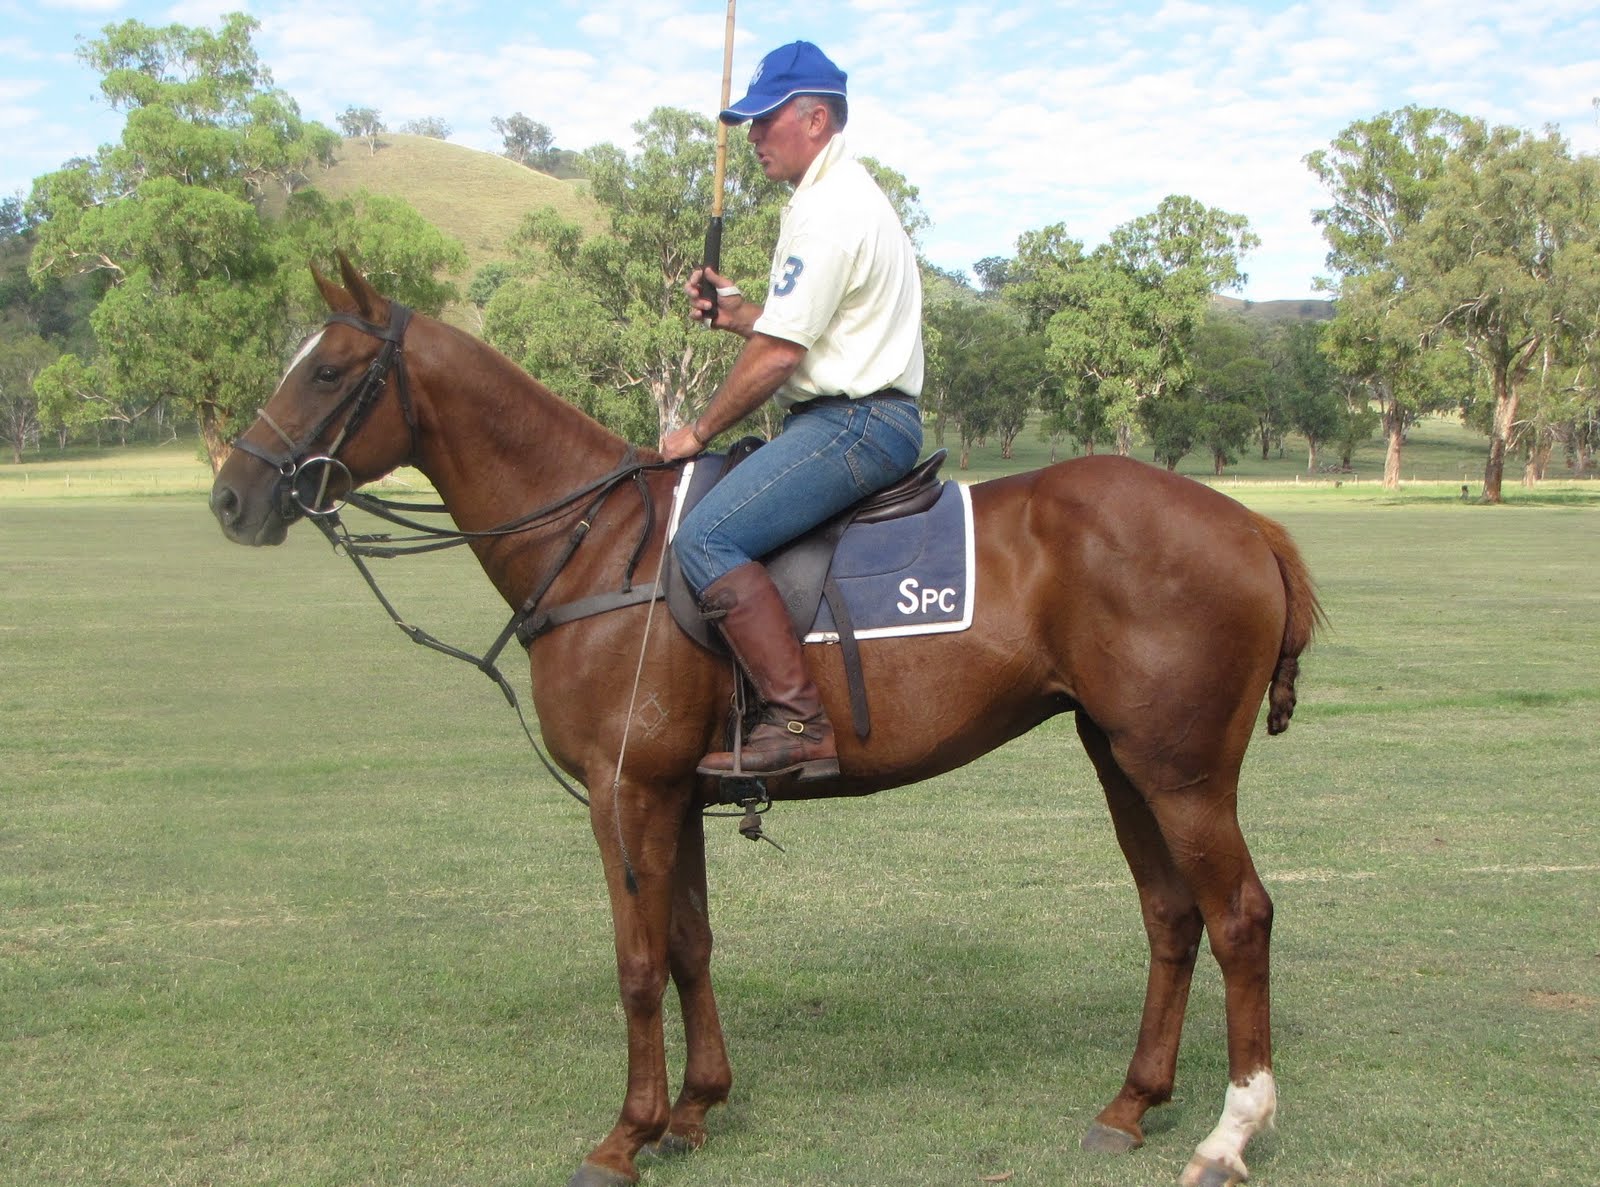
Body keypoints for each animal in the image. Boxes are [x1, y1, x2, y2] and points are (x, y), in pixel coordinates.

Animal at [210, 255, 1320, 1187]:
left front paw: (625, 1133)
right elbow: (690, 943)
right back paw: (1131, 1104)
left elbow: (636, 962)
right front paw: (696, 1107)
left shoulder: (623, 787)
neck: (596, 541)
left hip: (1182, 770)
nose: (231, 497)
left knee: (1239, 915)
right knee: (1171, 914)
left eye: (329, 371)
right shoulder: (676, 790)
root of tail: (1252, 524)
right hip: (1120, 753)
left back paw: (1229, 1132)